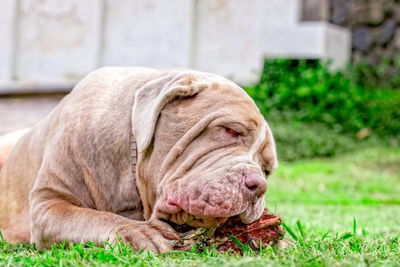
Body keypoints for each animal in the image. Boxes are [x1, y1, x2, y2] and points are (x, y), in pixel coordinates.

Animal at [0, 67, 276, 253]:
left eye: (267, 169)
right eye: (231, 130)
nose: (258, 186)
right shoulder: (48, 203)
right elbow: (89, 216)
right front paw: (137, 232)